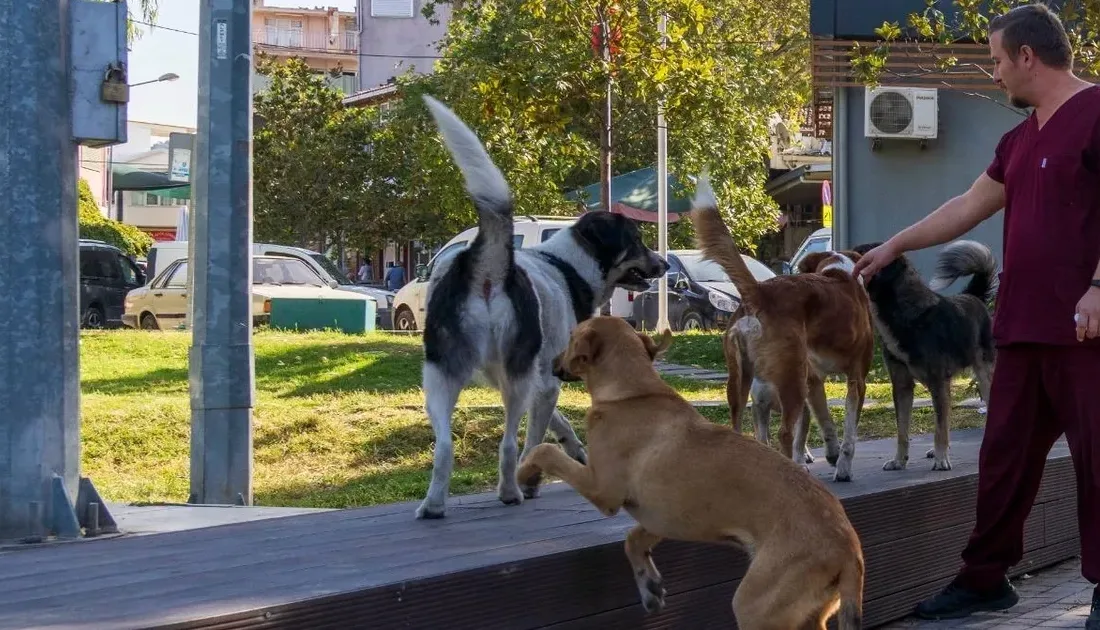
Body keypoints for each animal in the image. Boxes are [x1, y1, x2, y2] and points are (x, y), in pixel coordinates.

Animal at [413, 94, 664, 516]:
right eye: (637, 240)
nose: (666, 264)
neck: (566, 264)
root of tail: (487, 264)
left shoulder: (534, 381)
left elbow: (557, 422)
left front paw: (574, 450)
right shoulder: (544, 380)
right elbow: (534, 438)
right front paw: (532, 479)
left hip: (440, 375)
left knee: (444, 447)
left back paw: (433, 504)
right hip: (511, 380)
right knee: (507, 445)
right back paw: (510, 491)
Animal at [517, 316, 866, 624]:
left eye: (570, 337)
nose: (551, 361)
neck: (633, 393)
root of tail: (848, 549)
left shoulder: (603, 490)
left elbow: (544, 450)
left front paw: (524, 476)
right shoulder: (662, 516)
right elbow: (633, 538)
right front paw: (649, 586)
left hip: (755, 606)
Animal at [686, 177, 875, 481]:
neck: (838, 273)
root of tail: (759, 292)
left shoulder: (814, 381)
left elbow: (825, 420)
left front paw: (832, 453)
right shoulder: (857, 379)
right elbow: (849, 432)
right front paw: (843, 466)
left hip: (740, 380)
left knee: (741, 430)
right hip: (791, 380)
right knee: (785, 434)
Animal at [853, 240, 1003, 470]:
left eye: (864, 252)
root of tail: (972, 296)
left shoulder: (938, 381)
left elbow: (940, 428)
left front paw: (942, 459)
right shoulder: (902, 386)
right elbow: (903, 430)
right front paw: (899, 460)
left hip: (985, 375)